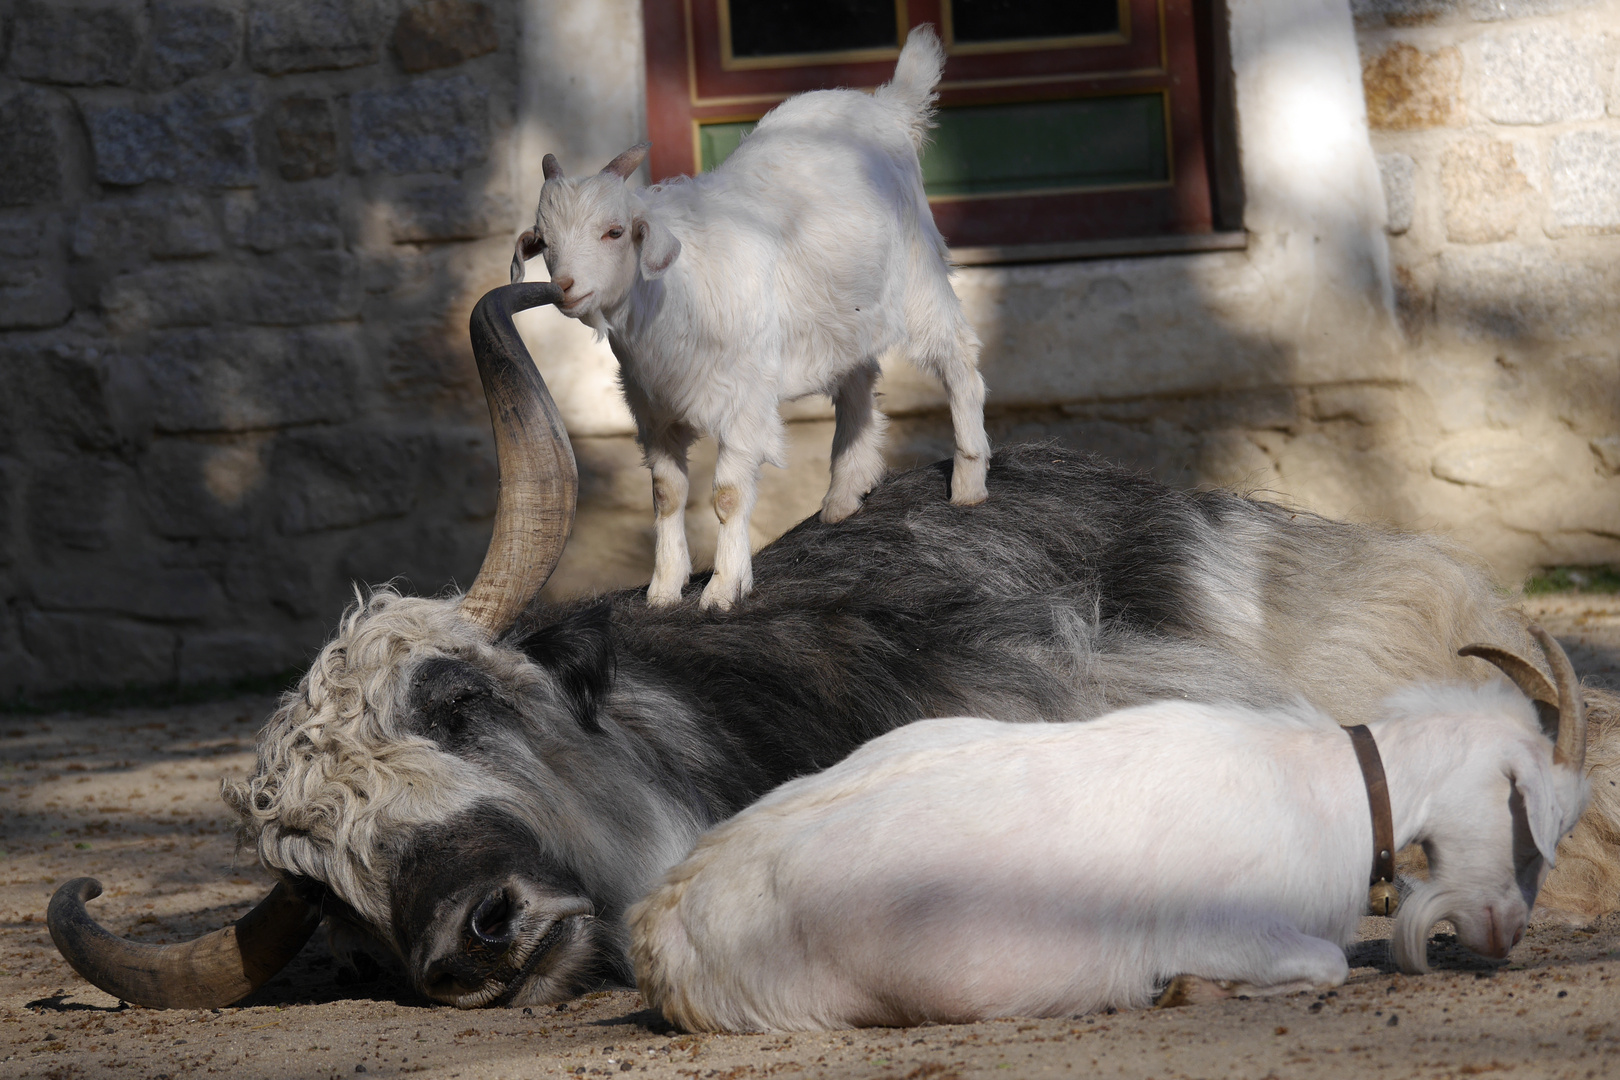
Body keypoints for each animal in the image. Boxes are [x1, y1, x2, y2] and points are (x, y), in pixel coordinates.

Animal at [511, 25, 984, 612]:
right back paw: (843, 497)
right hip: (840, 312)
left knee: (958, 357)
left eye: (615, 231)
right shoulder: (653, 408)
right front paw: (663, 590)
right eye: (543, 241)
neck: (672, 296)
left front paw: (722, 589)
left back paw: (969, 483)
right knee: (857, 380)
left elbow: (728, 495)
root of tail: (888, 105)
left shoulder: (744, 401)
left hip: (918, 277)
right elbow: (667, 495)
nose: (566, 287)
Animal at [631, 628, 1594, 1036]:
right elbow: (1322, 964)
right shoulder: (1226, 924)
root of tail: (664, 924)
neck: (1333, 785)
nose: (1505, 936)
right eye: (1533, 827)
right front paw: (1186, 990)